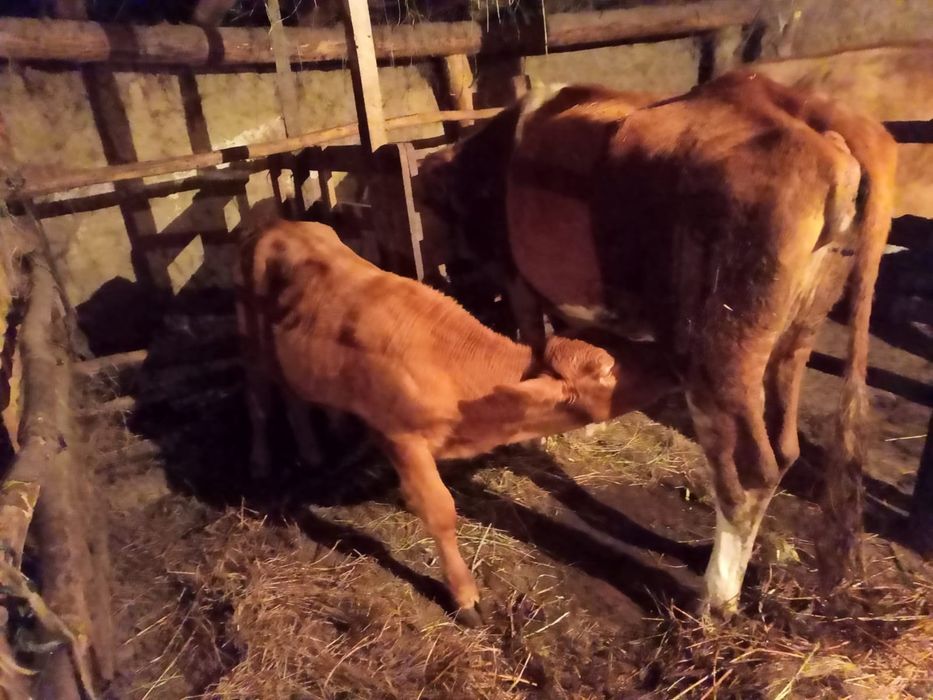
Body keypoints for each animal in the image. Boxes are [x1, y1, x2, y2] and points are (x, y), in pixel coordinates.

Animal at [235, 219, 678, 624]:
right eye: (608, 371)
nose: (673, 359)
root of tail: (276, 223)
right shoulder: (401, 438)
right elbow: (441, 510)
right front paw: (465, 596)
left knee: (293, 393)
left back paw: (313, 448)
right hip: (251, 340)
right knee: (258, 399)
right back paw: (259, 462)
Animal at [416, 71, 898, 617]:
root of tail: (792, 100)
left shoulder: (520, 281)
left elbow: (537, 345)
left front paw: (535, 437)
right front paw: (586, 422)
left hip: (717, 351)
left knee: (749, 468)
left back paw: (717, 596)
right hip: (796, 336)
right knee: (786, 447)